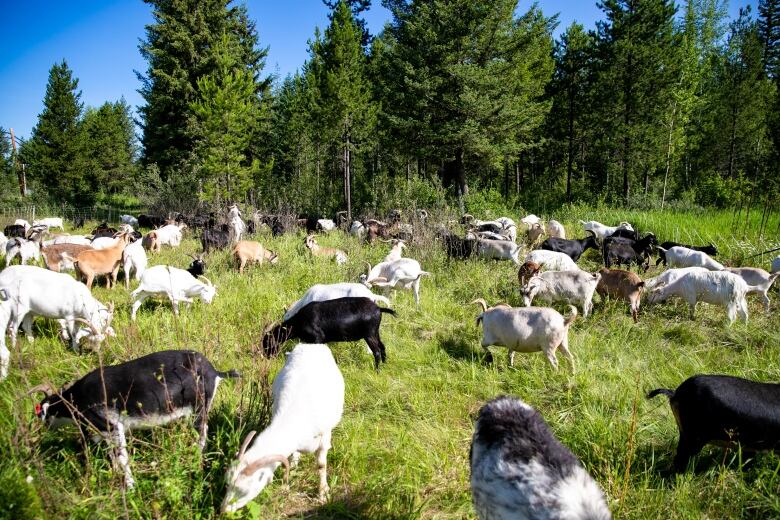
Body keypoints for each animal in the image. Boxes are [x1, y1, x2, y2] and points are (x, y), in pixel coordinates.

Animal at [31, 350, 238, 488]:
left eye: (41, 410)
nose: (43, 426)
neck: (76, 400)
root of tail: (214, 371)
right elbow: (111, 454)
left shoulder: (112, 425)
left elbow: (122, 457)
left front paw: (130, 486)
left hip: (199, 408)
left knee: (202, 432)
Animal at [219, 342, 342, 512]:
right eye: (227, 482)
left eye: (244, 492)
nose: (223, 511)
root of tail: (310, 345)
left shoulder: (324, 437)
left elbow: (321, 465)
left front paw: (323, 494)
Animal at [262, 296, 396, 370]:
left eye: (267, 342)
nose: (267, 357)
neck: (298, 322)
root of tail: (378, 308)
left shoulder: (317, 338)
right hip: (375, 332)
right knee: (382, 347)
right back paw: (385, 365)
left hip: (369, 334)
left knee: (377, 352)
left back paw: (377, 371)